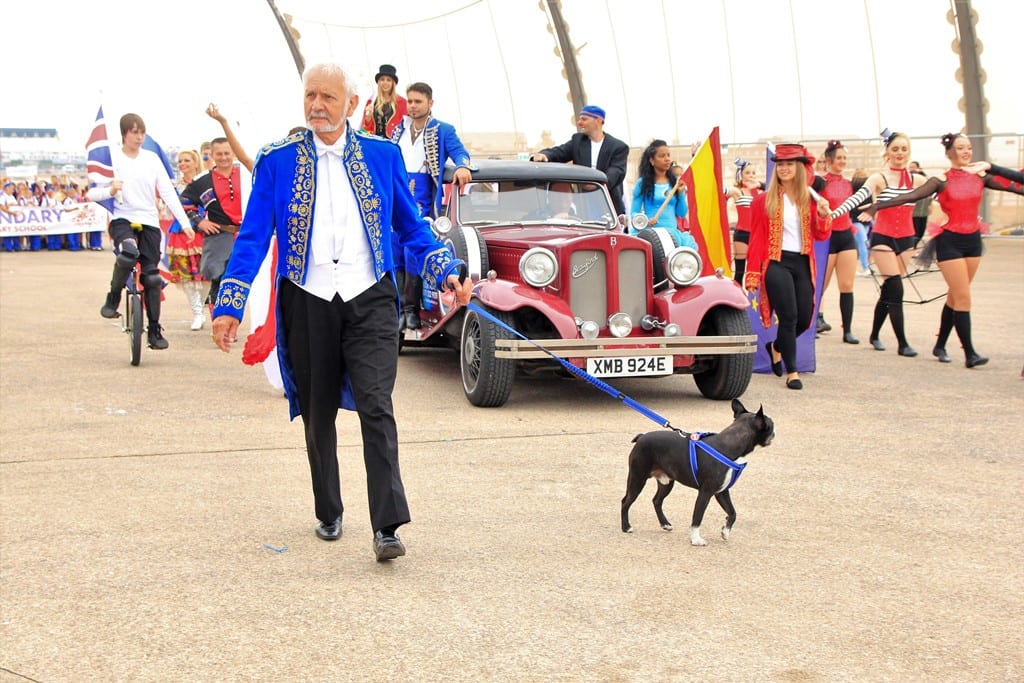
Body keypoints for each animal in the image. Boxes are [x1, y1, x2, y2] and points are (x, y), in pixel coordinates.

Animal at [620, 399, 774, 545]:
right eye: (771, 425)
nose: (774, 431)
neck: (731, 444)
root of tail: (641, 437)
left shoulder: (721, 491)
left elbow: (732, 512)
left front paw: (725, 532)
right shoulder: (705, 493)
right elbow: (697, 517)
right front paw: (696, 539)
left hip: (667, 482)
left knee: (657, 500)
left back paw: (665, 524)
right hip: (637, 478)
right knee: (626, 501)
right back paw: (626, 527)